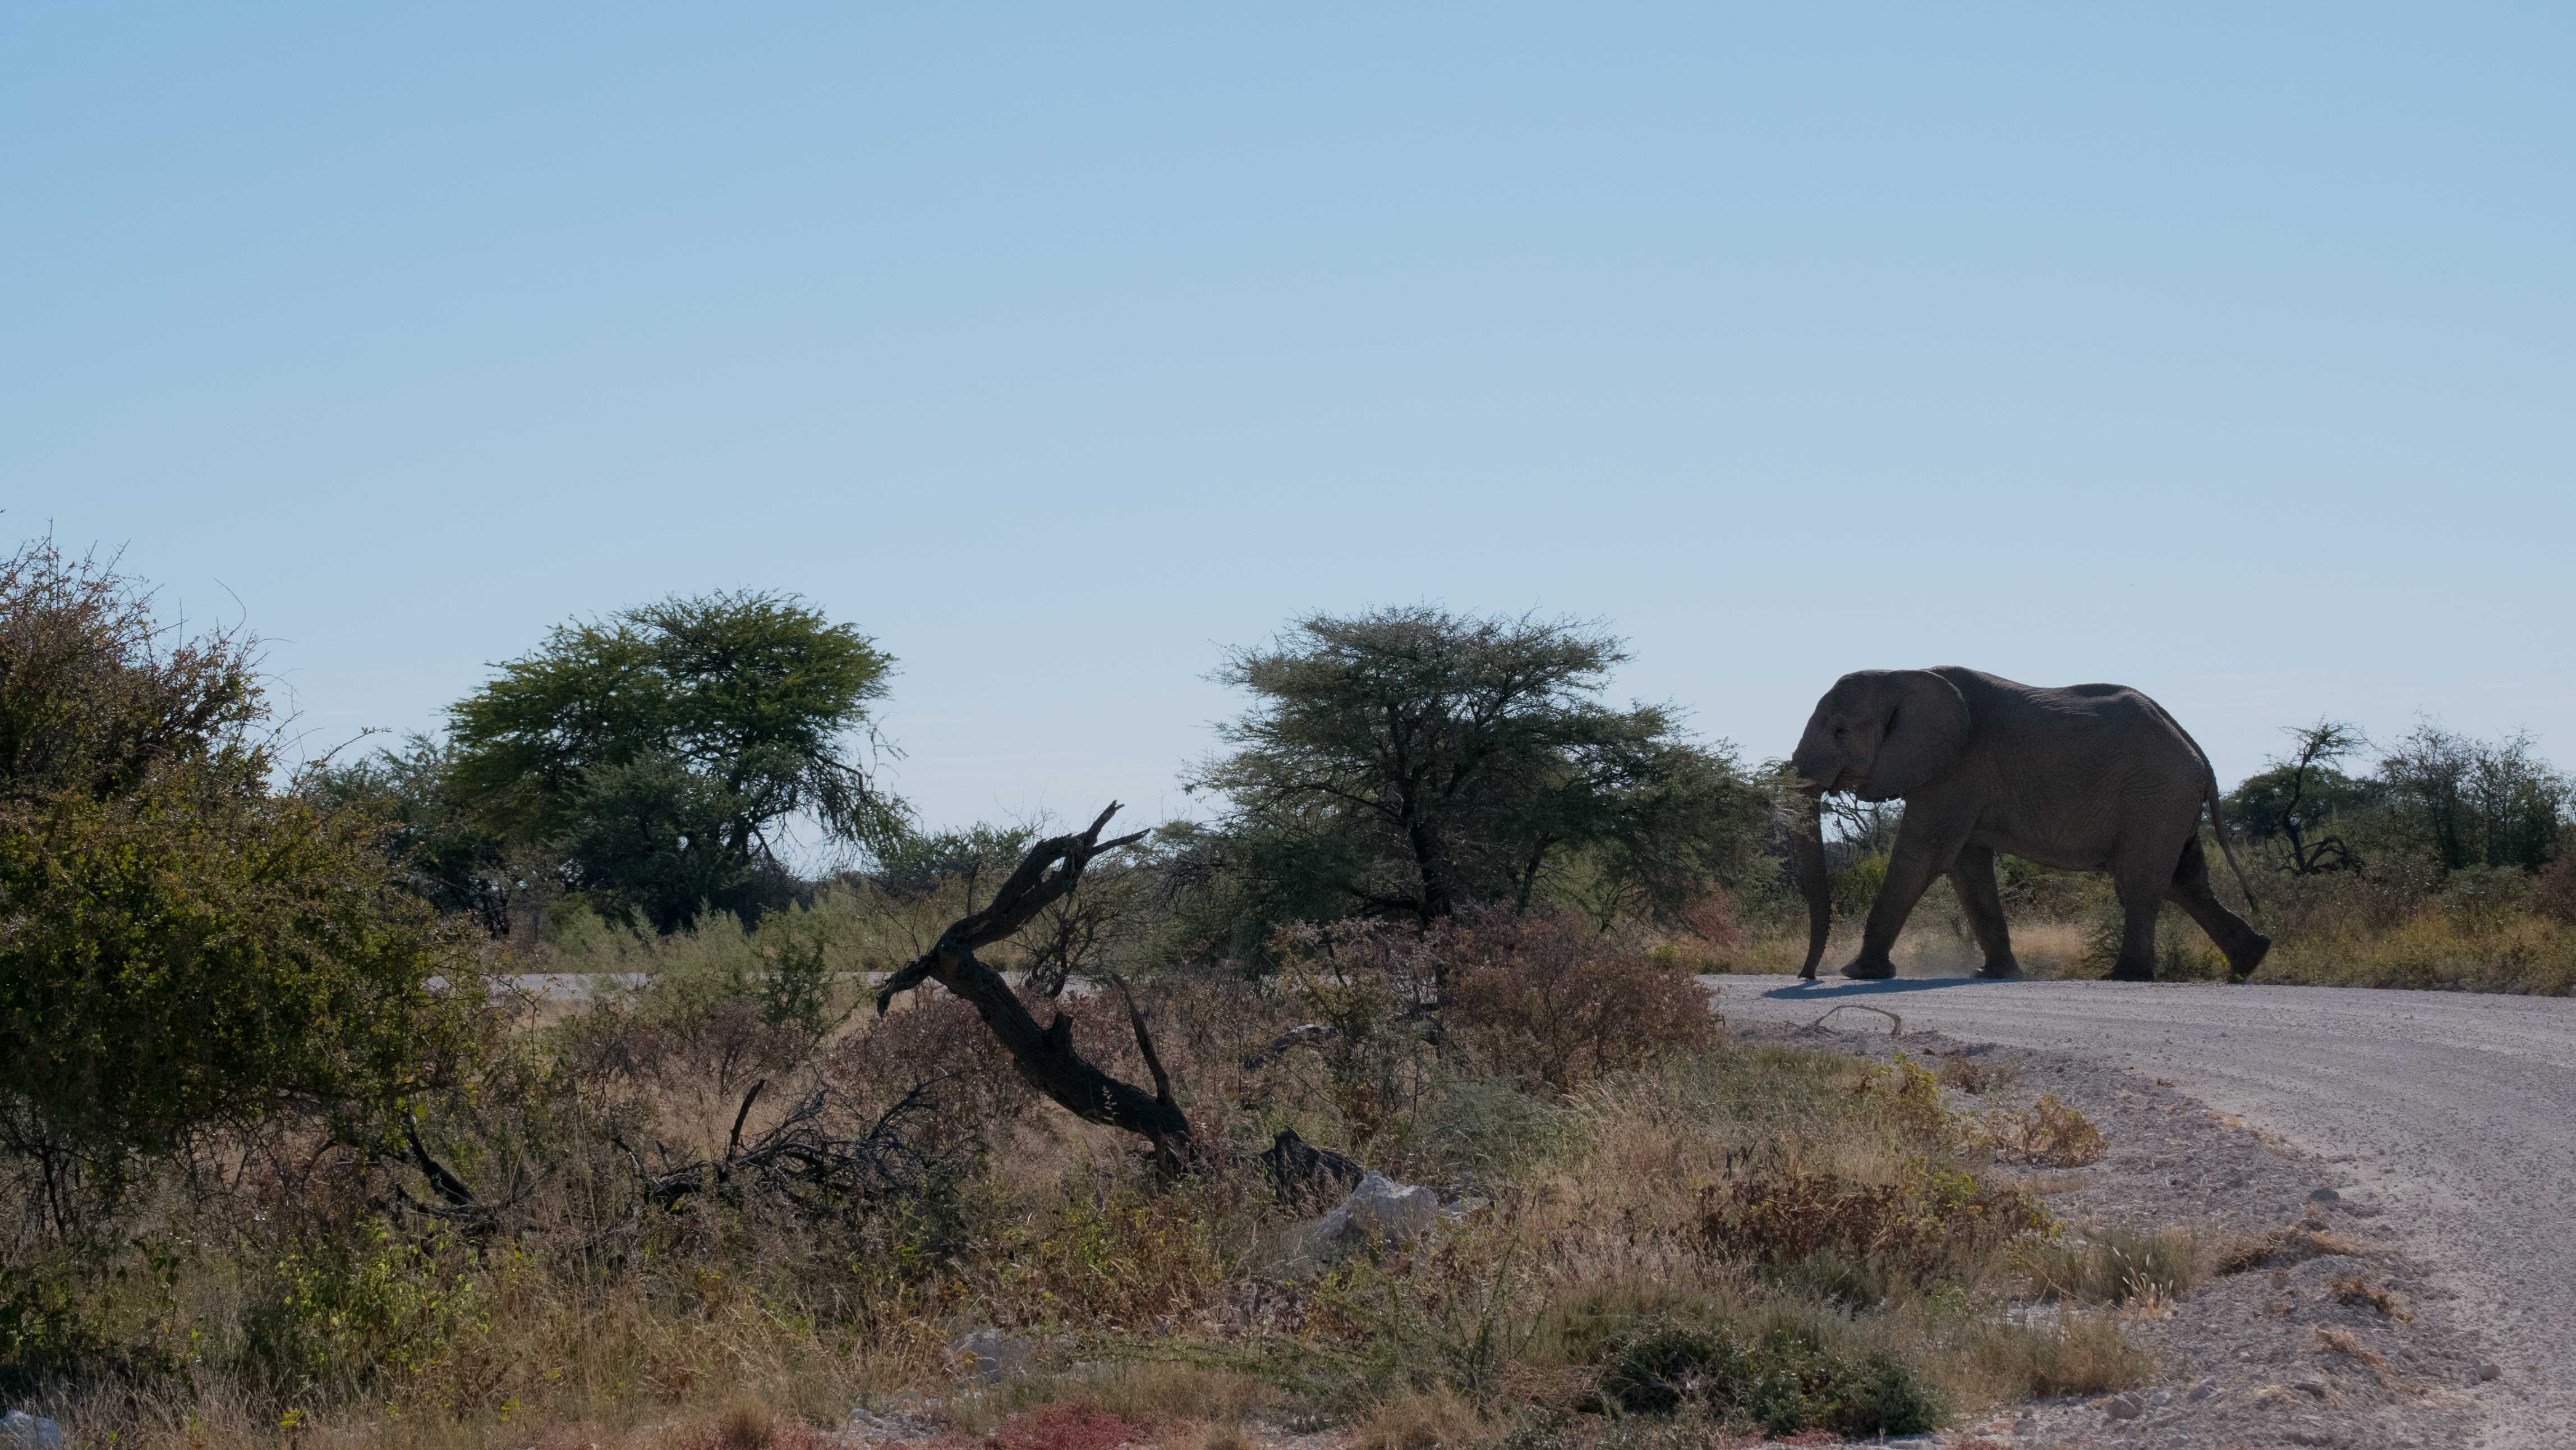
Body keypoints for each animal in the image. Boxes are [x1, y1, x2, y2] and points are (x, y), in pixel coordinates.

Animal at [1782, 669, 2266, 989]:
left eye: (1840, 731)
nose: (1808, 975)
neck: (1901, 675)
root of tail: (2200, 756)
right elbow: (1967, 868)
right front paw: (1994, 975)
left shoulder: (1958, 768)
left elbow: (1923, 857)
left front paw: (1858, 973)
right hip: (2169, 801)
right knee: (2185, 882)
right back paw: (2251, 961)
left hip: (2155, 795)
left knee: (2141, 882)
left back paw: (2124, 976)